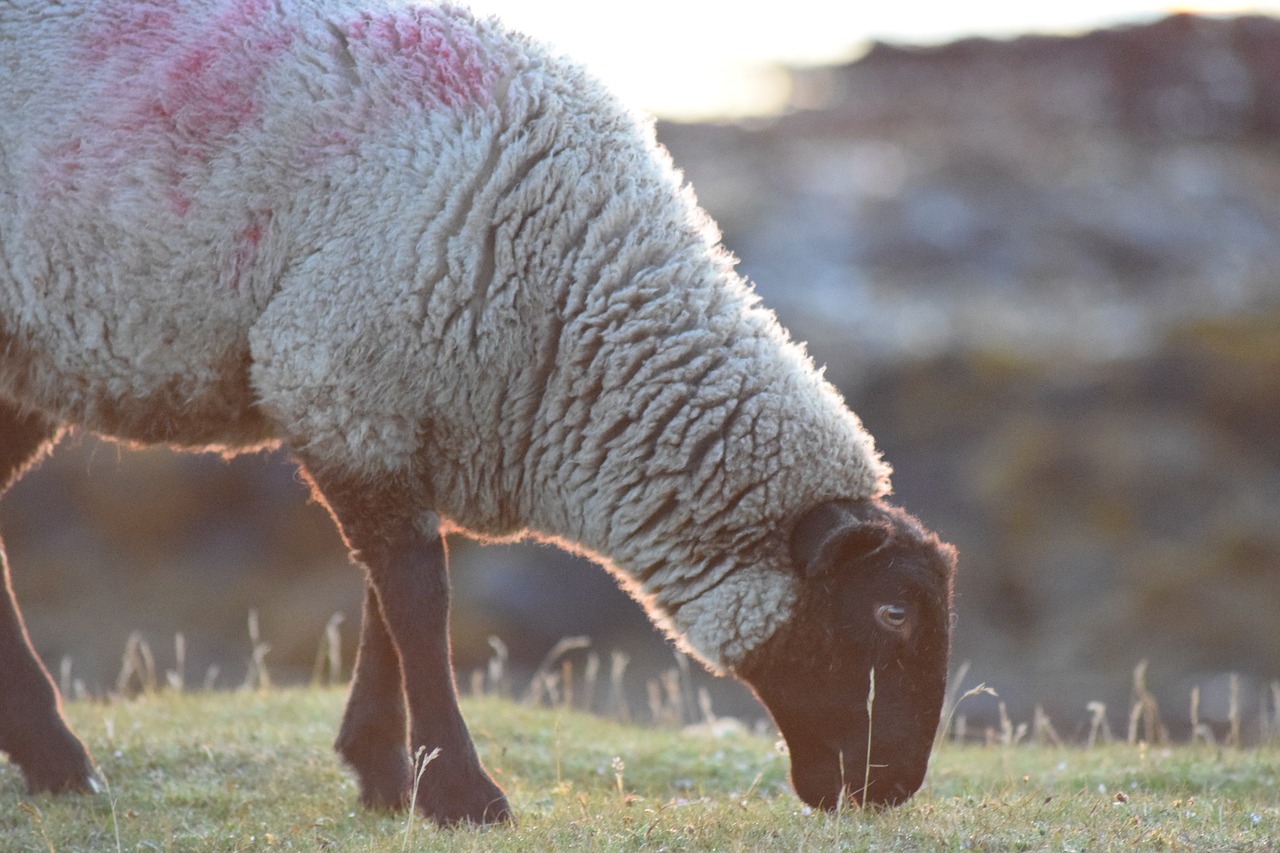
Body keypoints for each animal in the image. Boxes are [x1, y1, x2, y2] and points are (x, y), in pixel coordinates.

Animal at [0, 0, 957, 824]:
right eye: (893, 611)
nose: (891, 789)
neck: (571, 302)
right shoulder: (341, 383)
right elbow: (420, 597)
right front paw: (462, 793)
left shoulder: (414, 413)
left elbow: (390, 600)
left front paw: (387, 772)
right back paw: (59, 757)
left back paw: (51, 758)